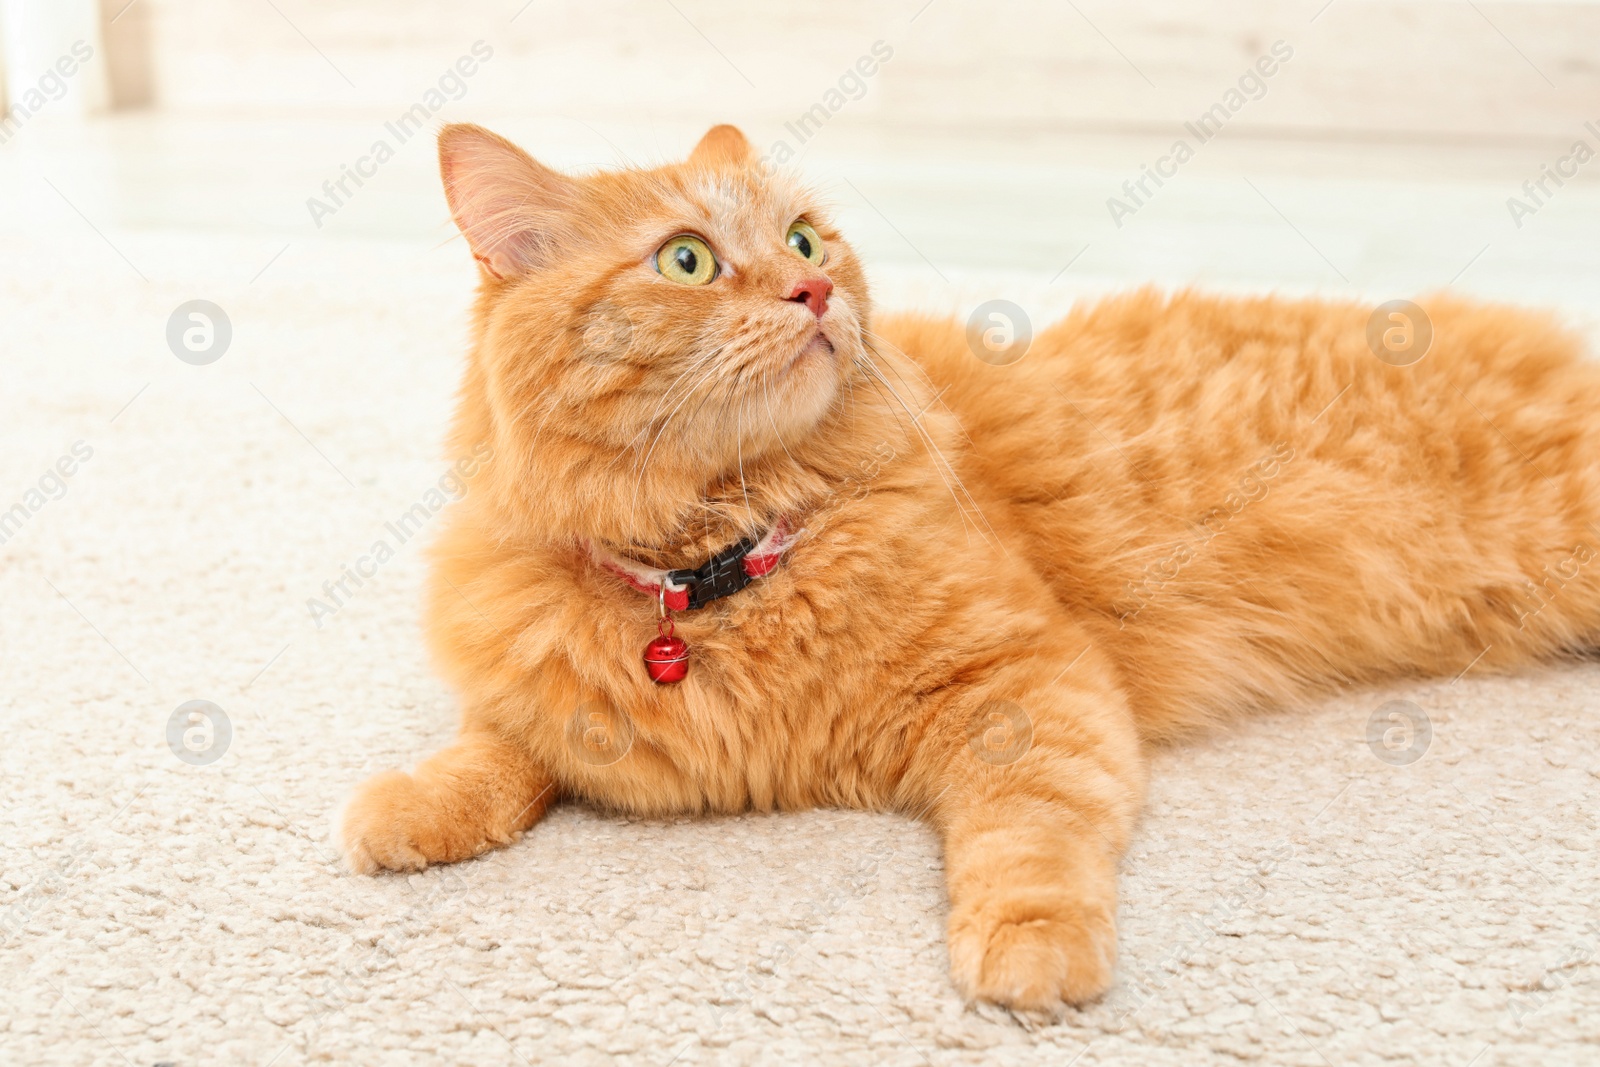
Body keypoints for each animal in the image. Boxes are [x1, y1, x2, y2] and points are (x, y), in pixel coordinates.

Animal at [337, 123, 1600, 1011]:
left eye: (804, 240)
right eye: (687, 260)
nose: (812, 290)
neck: (719, 566)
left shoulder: (1025, 682)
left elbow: (1028, 836)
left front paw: (1030, 949)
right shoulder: (544, 685)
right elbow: (500, 746)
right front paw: (410, 805)